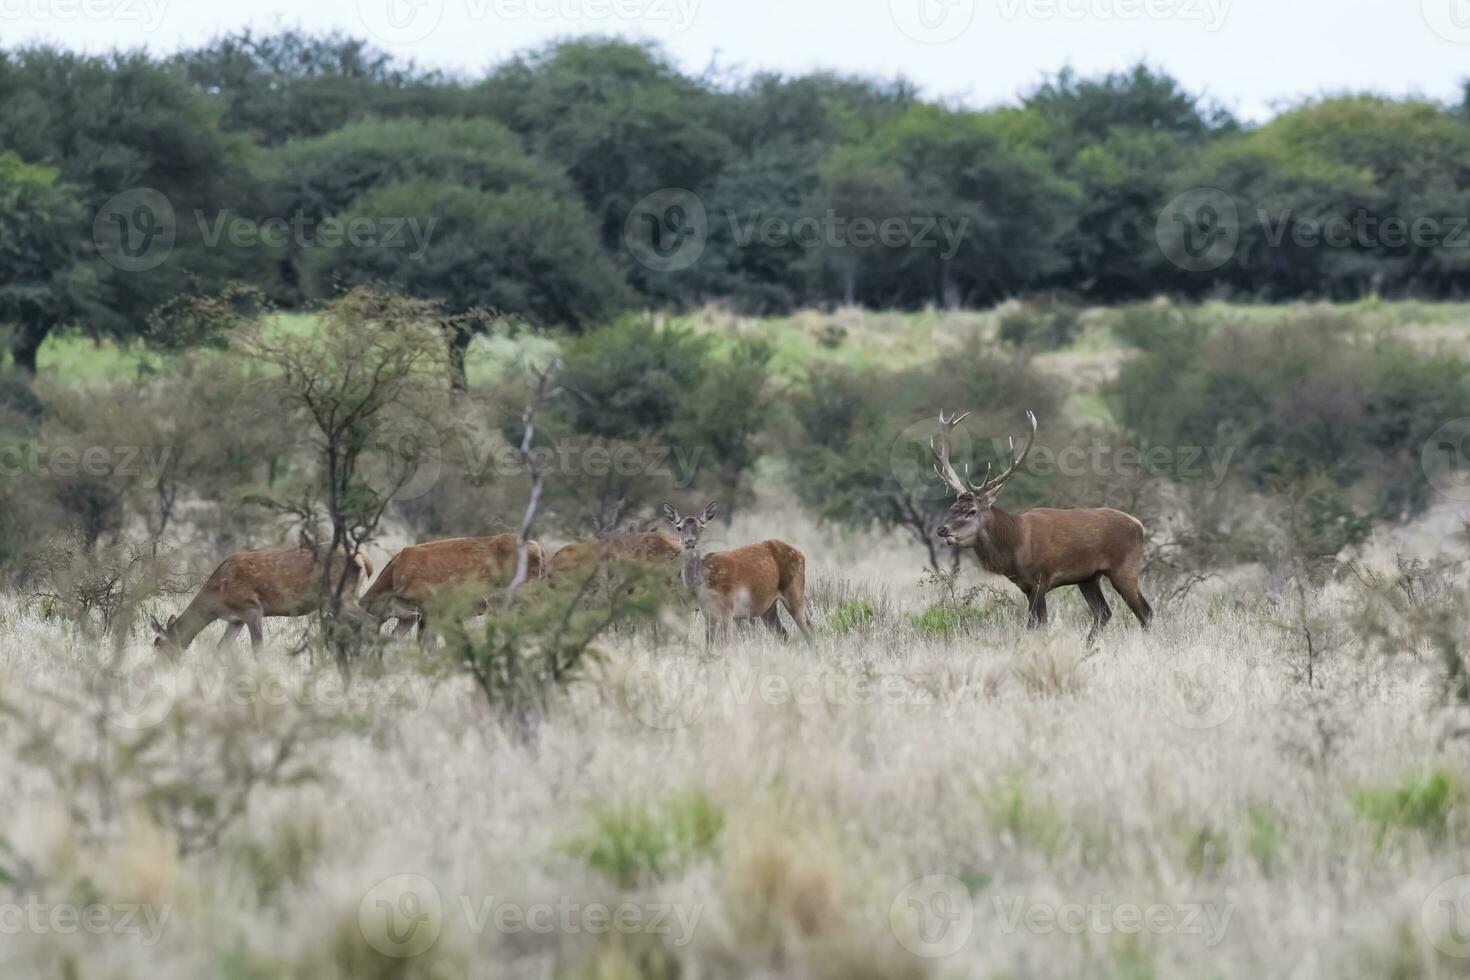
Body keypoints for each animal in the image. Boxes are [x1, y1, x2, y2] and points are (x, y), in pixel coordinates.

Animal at [149, 549, 373, 655]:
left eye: (157, 645)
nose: (161, 670)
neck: (218, 599)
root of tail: (363, 559)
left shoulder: (252, 606)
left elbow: (258, 648)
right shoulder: (236, 619)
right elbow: (221, 648)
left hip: (340, 594)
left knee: (369, 620)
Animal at [661, 499, 811, 643]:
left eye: (701, 527)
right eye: (679, 527)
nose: (689, 541)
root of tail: (801, 554)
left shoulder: (728, 609)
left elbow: (727, 643)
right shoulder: (707, 613)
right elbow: (709, 644)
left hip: (795, 590)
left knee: (809, 630)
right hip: (768, 607)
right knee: (784, 635)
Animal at [934, 408, 1152, 643]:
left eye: (972, 511)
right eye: (952, 507)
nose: (942, 529)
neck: (1015, 546)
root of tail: (1139, 525)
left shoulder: (1041, 578)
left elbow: (1034, 624)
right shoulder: (1025, 585)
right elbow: (1040, 624)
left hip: (1125, 569)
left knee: (1145, 612)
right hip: (1088, 577)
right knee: (1104, 612)